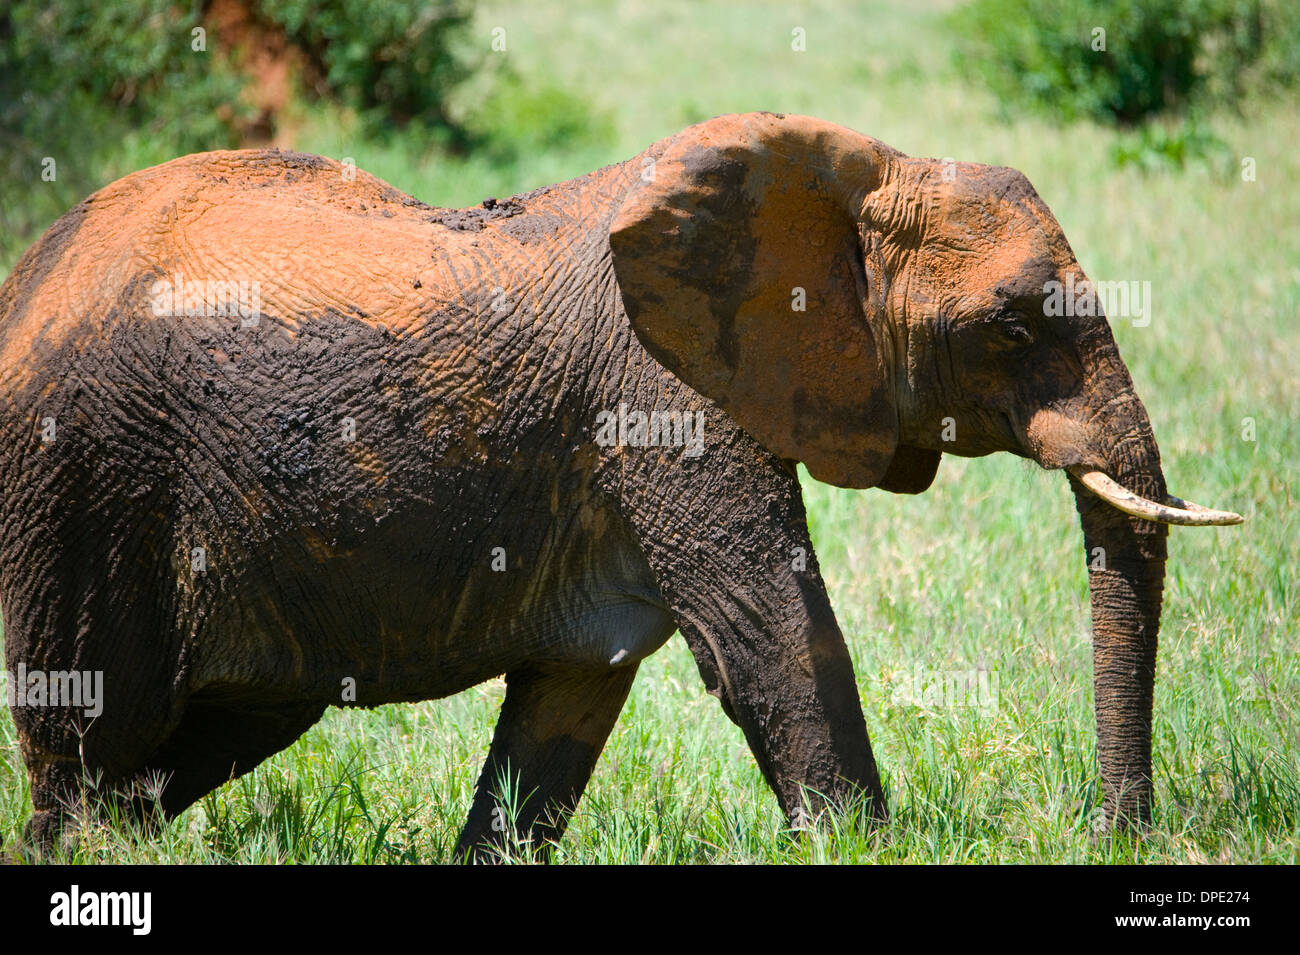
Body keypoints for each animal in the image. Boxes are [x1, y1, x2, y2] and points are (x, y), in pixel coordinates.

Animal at [0, 112, 1242, 860]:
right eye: (1011, 325)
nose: (1118, 829)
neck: (847, 172)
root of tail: (28, 275)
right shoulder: (665, 398)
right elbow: (773, 639)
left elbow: (564, 709)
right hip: (80, 486)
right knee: (88, 754)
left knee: (176, 753)